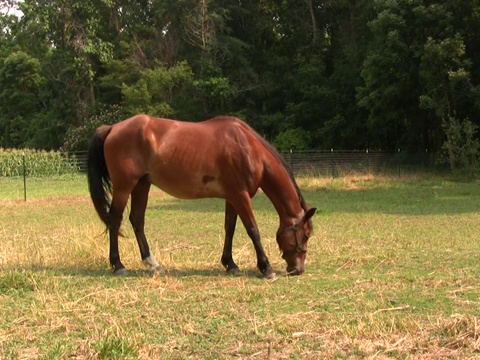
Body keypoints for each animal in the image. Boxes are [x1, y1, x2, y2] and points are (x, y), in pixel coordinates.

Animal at [88, 114, 316, 278]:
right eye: (305, 235)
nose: (297, 269)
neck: (248, 148)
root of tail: (112, 128)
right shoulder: (240, 196)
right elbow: (253, 230)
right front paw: (266, 268)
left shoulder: (232, 197)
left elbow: (230, 228)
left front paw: (230, 264)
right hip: (124, 187)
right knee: (115, 220)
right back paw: (118, 265)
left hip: (142, 185)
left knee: (137, 220)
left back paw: (153, 264)